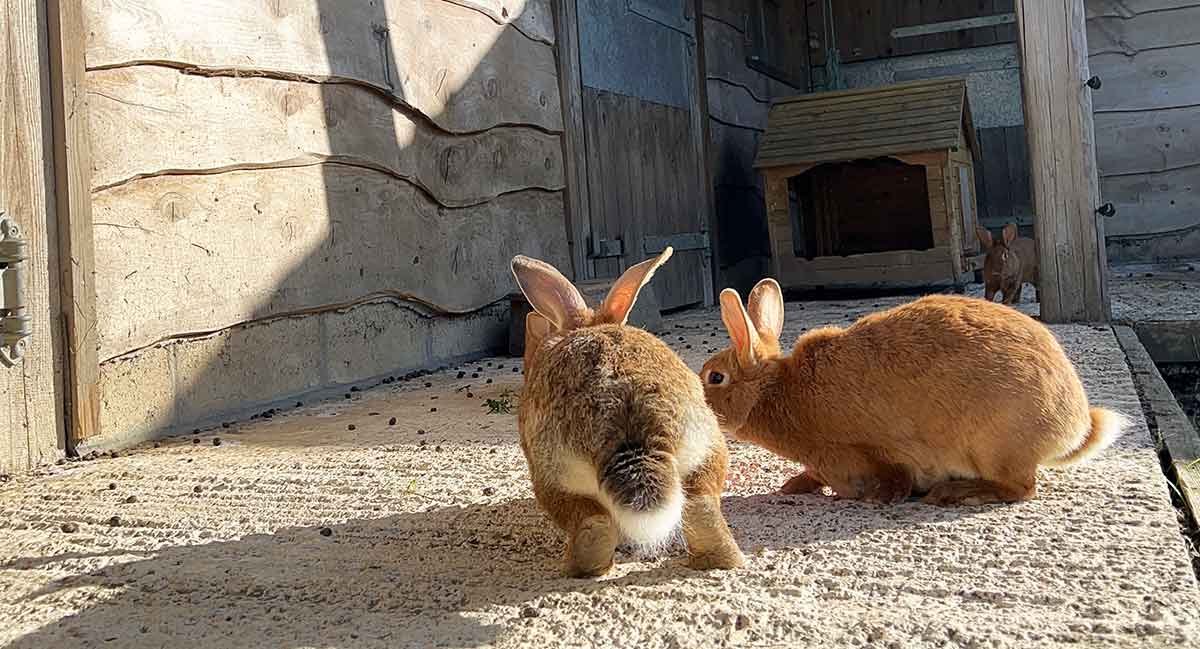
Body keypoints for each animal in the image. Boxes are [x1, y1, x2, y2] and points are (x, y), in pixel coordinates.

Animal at [511, 248, 744, 577]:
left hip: (553, 477)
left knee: (591, 520)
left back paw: (576, 568)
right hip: (706, 452)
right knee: (700, 506)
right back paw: (715, 560)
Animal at [698, 279, 1126, 506]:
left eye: (715, 377)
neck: (778, 391)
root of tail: (1073, 426)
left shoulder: (864, 452)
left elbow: (891, 474)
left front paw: (878, 497)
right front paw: (794, 485)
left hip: (993, 444)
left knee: (1021, 488)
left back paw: (952, 492)